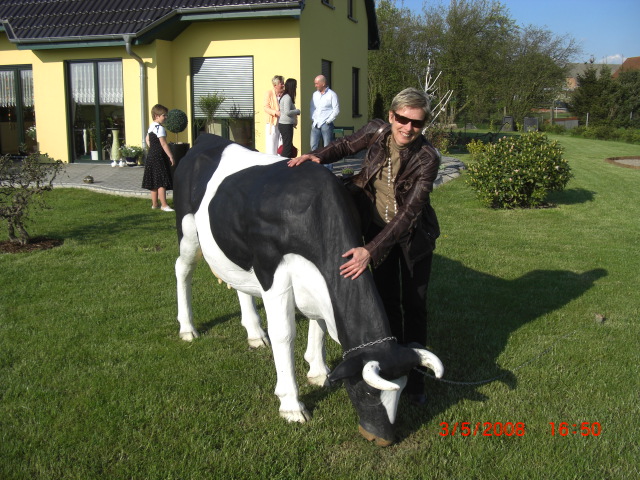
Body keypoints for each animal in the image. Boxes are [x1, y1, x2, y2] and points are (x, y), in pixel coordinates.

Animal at [173, 134, 443, 446]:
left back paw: (254, 334)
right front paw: (291, 404)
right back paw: (187, 329)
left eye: (402, 387)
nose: (383, 439)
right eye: (366, 391)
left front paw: (318, 371)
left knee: (240, 286)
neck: (313, 214)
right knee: (182, 269)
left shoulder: (316, 277)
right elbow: (284, 334)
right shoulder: (271, 270)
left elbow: (322, 322)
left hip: (235, 248)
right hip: (188, 231)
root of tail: (207, 138)